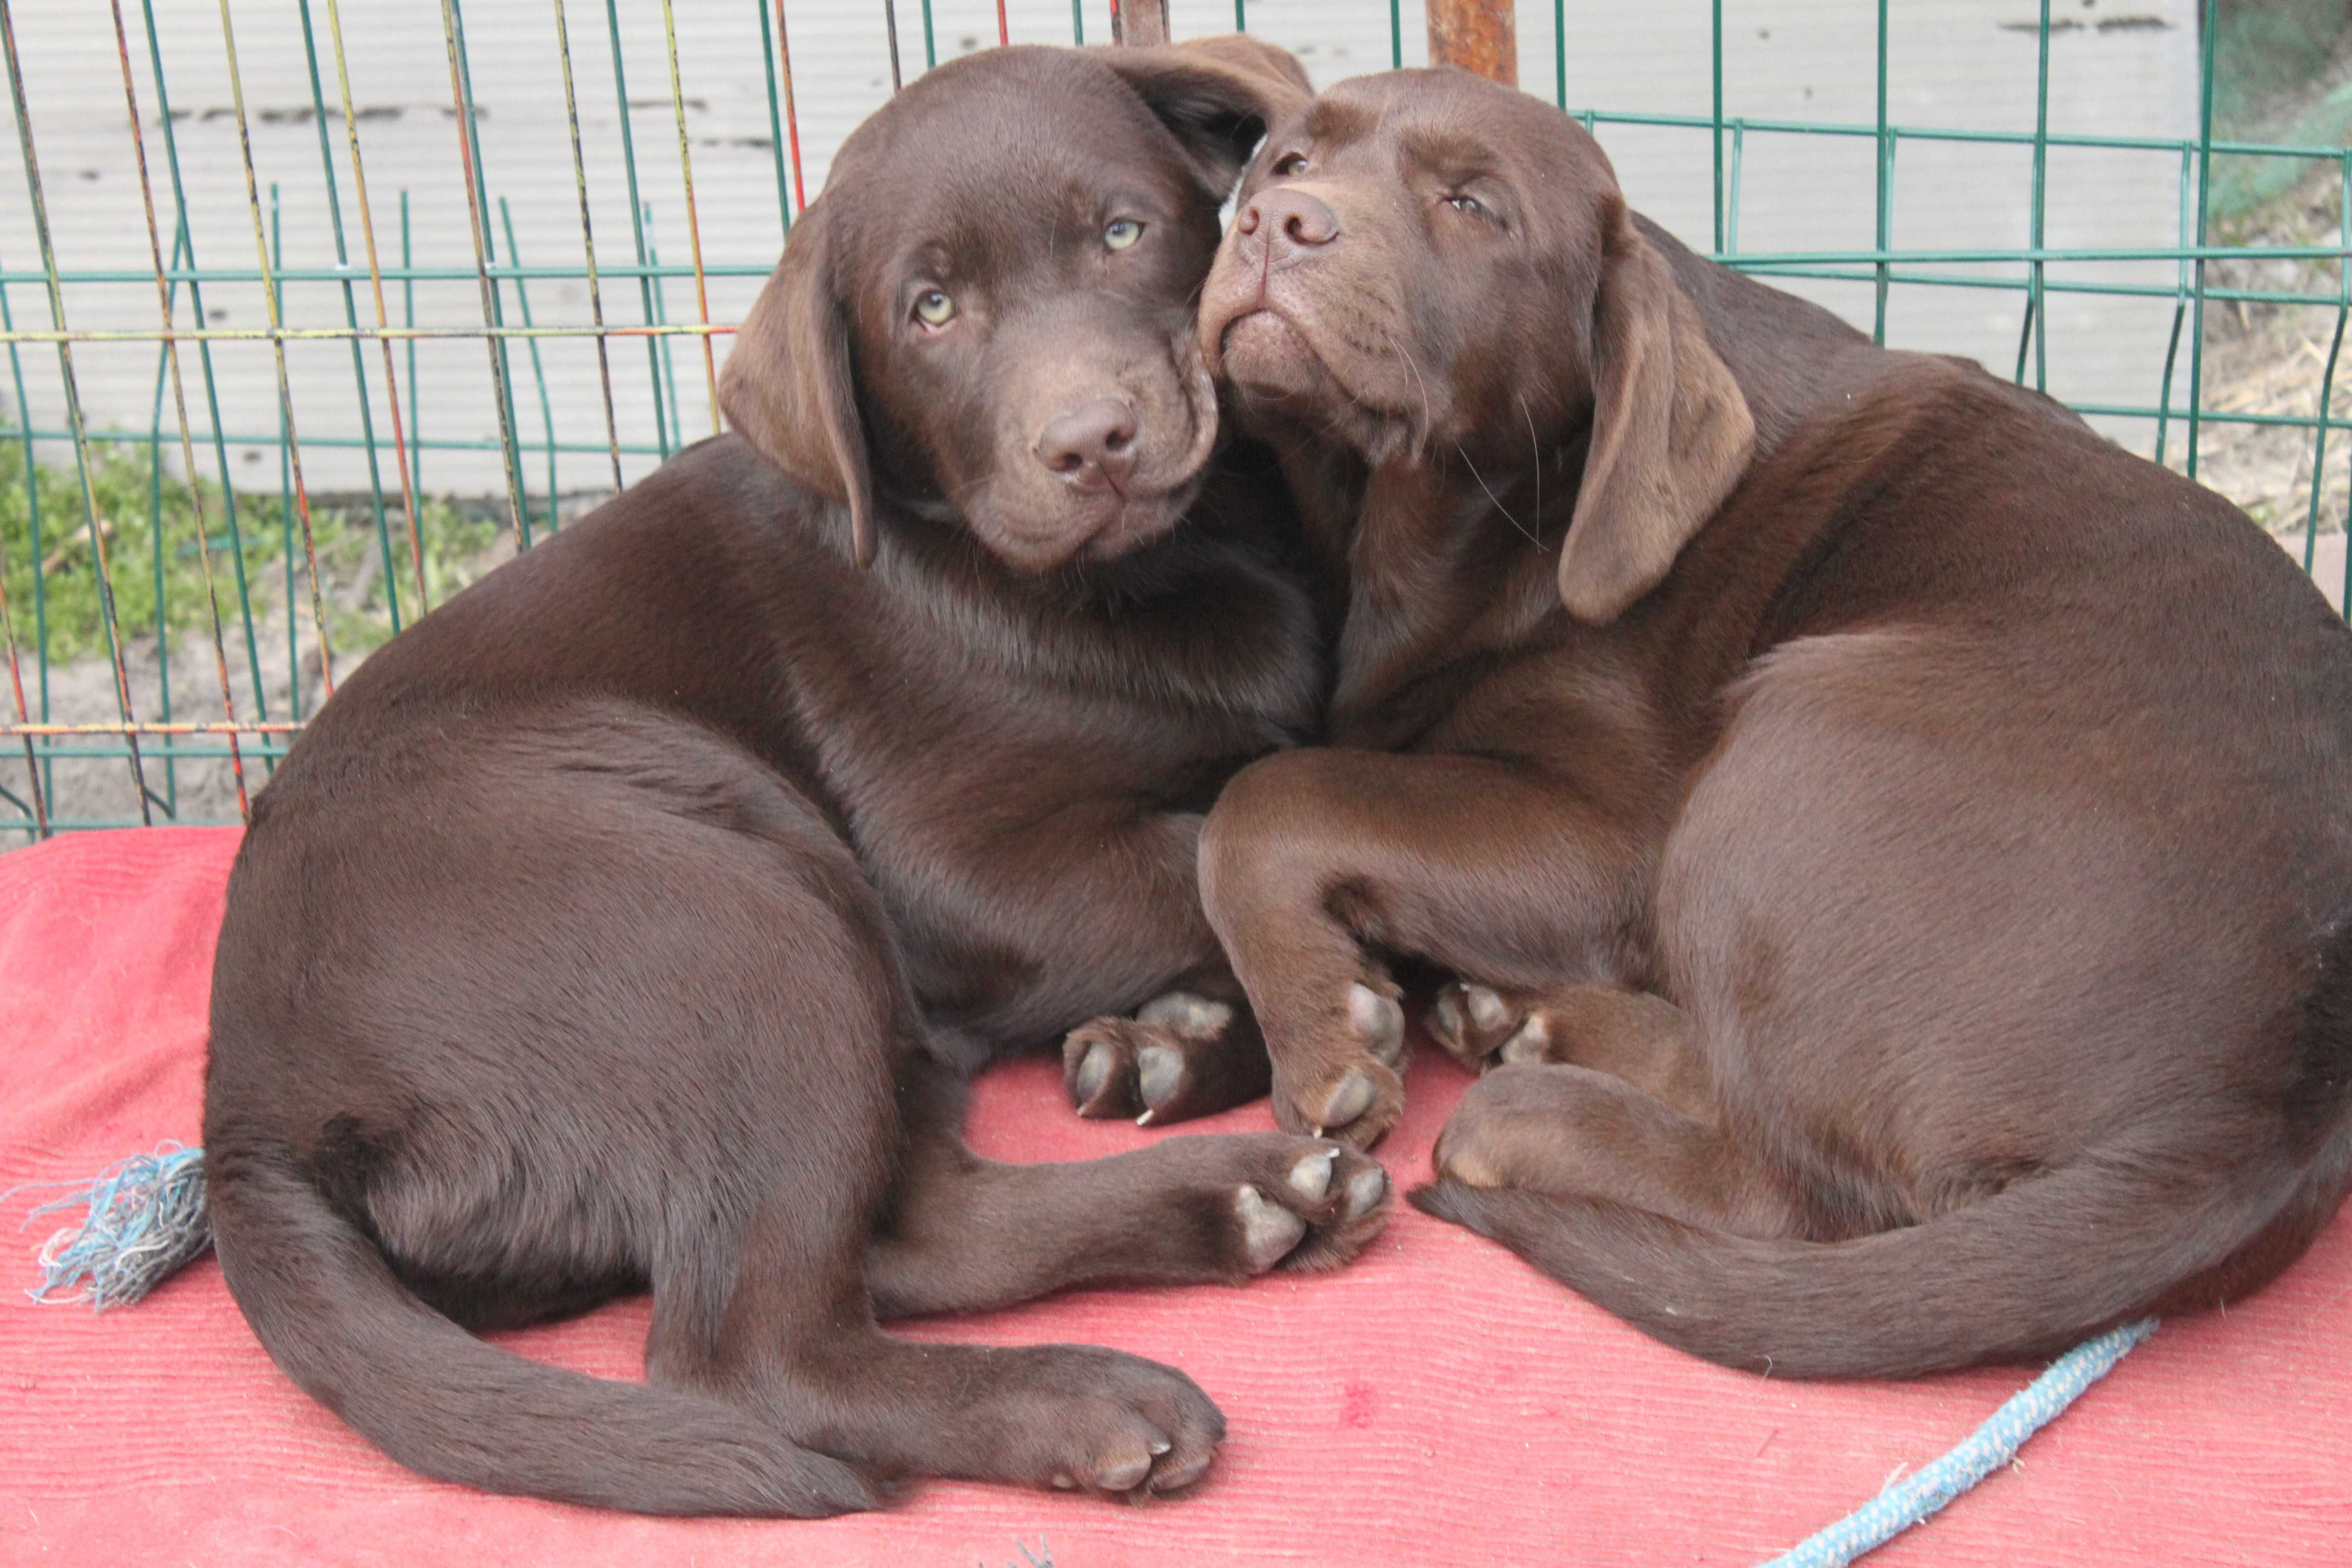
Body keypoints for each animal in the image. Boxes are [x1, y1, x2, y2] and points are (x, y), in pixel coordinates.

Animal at [1185, 67, 2352, 1382]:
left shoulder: (1609, 842)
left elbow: (1270, 796)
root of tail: (2271, 1100)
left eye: (1473, 205)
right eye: (1286, 163)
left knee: (1802, 1189)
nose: (1276, 224)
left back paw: (1530, 1107)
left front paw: (1324, 1037)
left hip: (1790, 750)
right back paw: (1534, 1020)